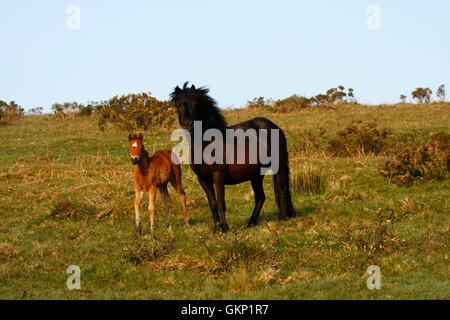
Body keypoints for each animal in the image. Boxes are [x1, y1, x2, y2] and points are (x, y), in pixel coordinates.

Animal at [170, 82, 296, 232]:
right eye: (178, 104)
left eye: (196, 103)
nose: (189, 125)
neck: (206, 144)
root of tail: (274, 127)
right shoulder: (203, 179)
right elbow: (212, 203)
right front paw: (216, 228)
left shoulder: (218, 175)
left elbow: (220, 202)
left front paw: (224, 228)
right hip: (256, 175)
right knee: (260, 197)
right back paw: (250, 223)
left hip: (279, 167)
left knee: (282, 190)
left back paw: (282, 219)